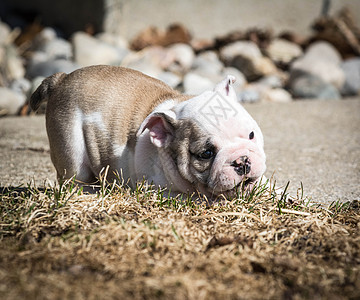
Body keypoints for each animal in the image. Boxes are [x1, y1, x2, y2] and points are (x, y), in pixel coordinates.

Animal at [31, 64, 266, 198]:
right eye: (206, 154)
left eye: (251, 135)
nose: (242, 161)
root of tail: (61, 79)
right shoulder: (159, 191)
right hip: (71, 147)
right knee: (73, 180)